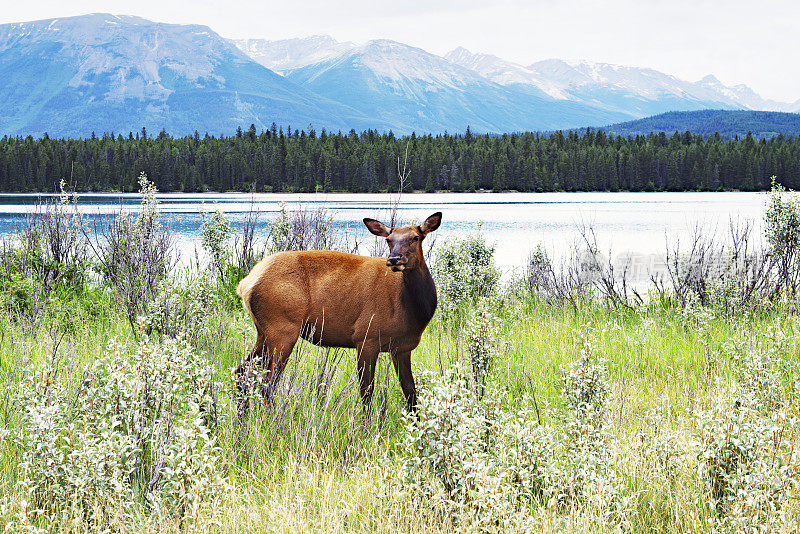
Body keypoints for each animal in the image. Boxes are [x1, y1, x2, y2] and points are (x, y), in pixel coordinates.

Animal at [234, 211, 440, 412]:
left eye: (415, 237)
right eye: (389, 239)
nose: (394, 259)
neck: (412, 313)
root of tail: (246, 284)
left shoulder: (403, 348)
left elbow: (410, 393)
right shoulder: (366, 337)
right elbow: (367, 393)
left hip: (263, 331)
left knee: (241, 372)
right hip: (282, 328)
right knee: (267, 383)